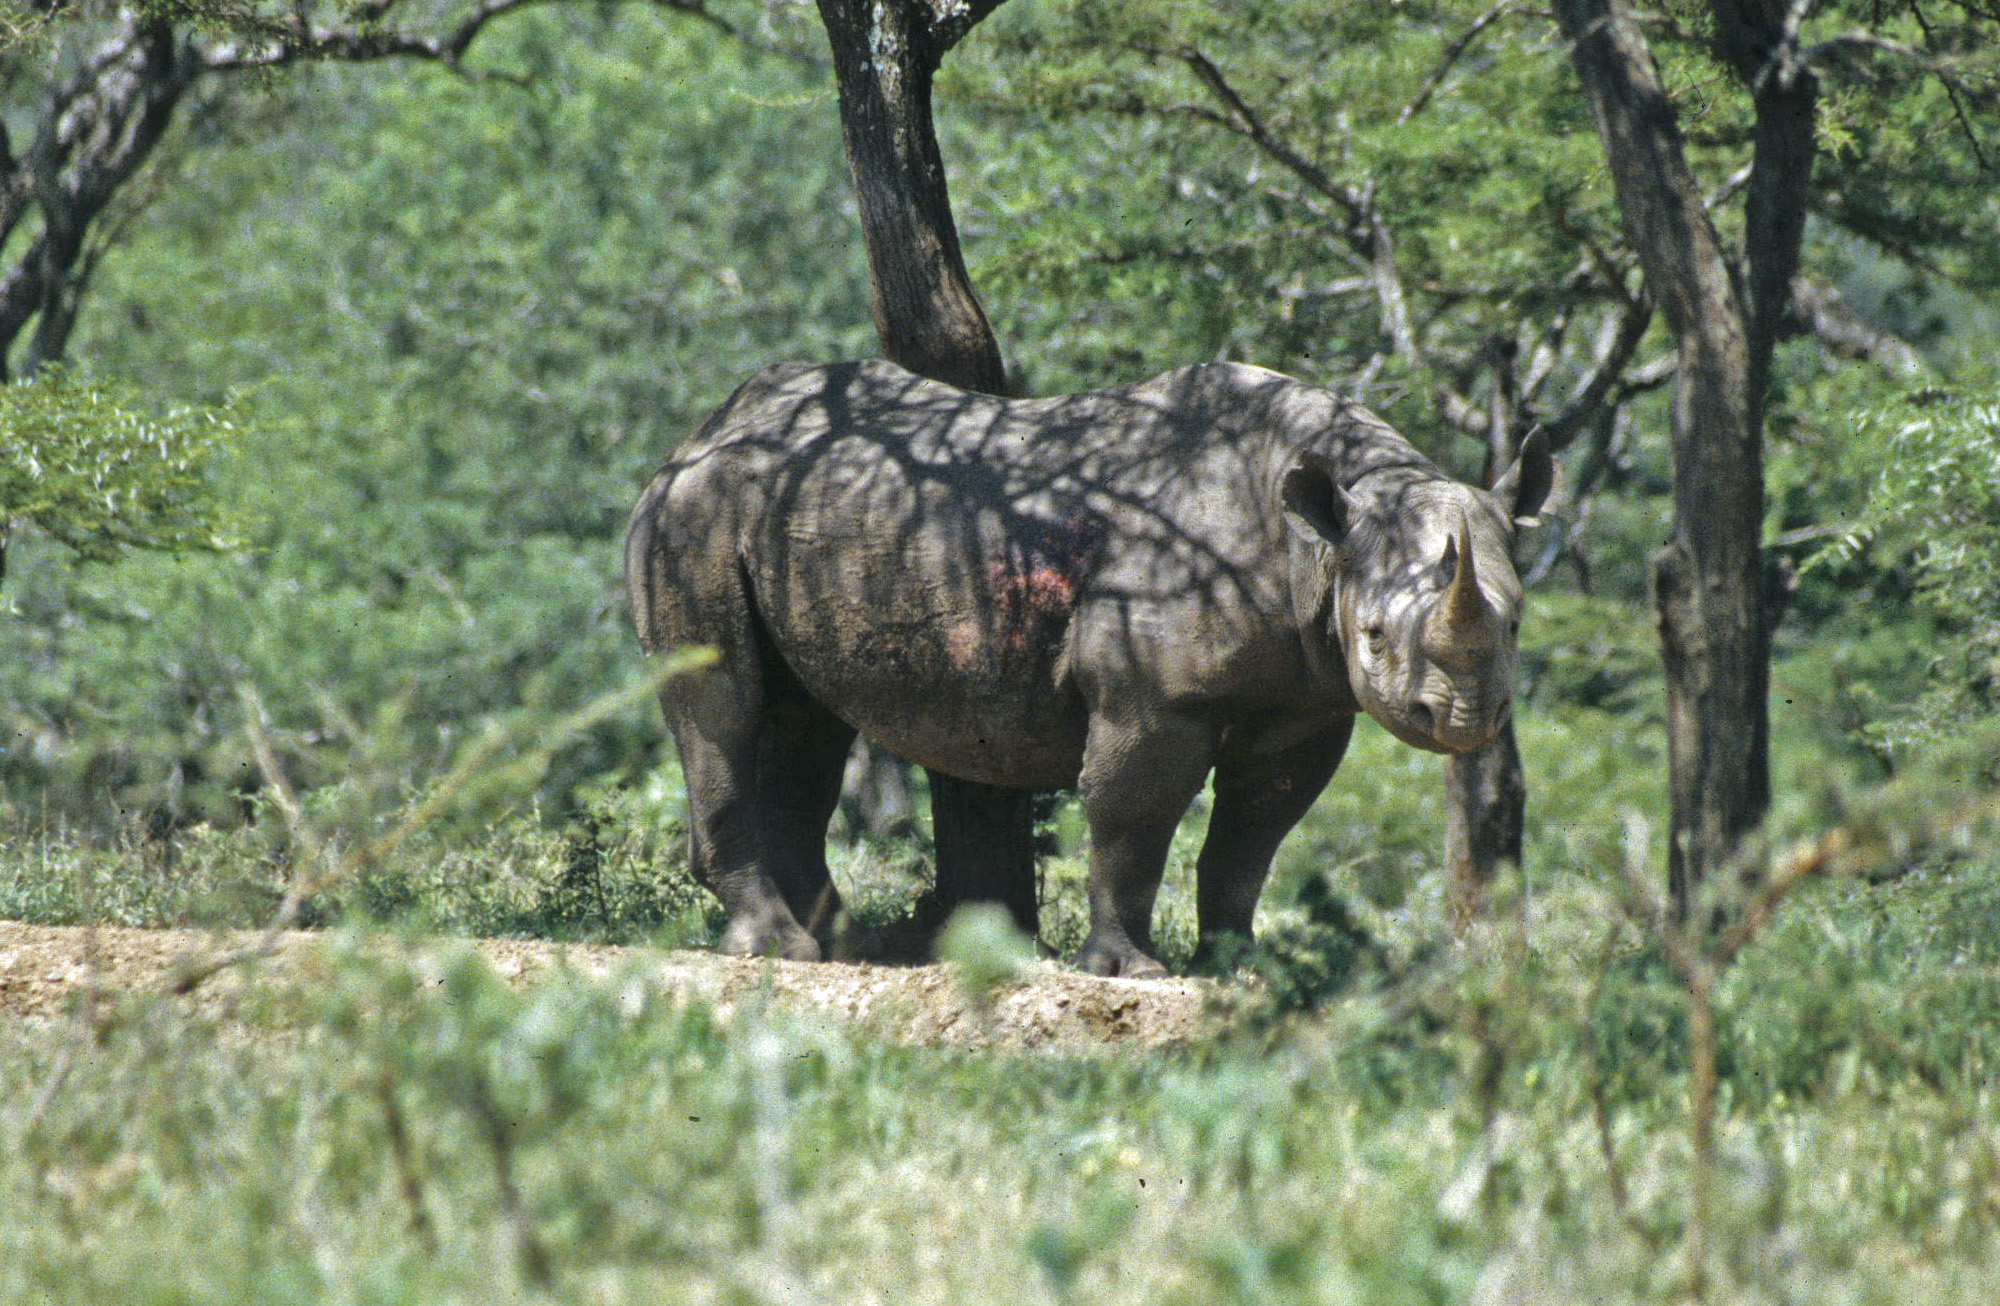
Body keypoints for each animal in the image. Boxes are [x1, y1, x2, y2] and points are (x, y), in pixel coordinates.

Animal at [625, 360, 1550, 977]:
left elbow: (1252, 836)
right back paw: (780, 948)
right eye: (1374, 636)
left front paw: (1239, 966)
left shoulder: (1306, 702)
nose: (1464, 720)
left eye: (1515, 623)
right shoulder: (1155, 695)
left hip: (788, 520)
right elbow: (1132, 818)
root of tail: (699, 431)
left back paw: (846, 950)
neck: (1319, 543)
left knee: (804, 721)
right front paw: (1128, 970)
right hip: (693, 516)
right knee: (722, 705)